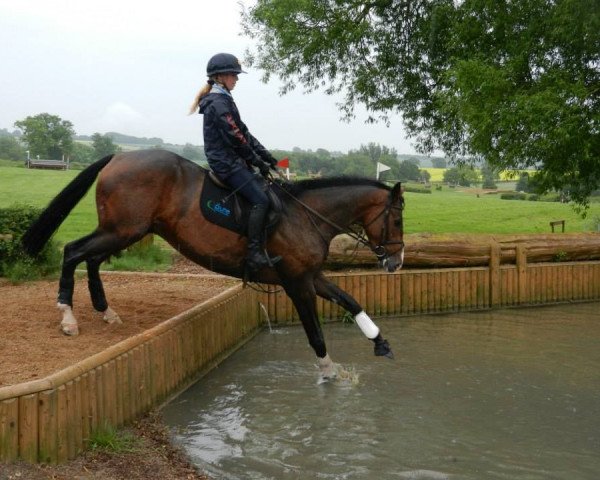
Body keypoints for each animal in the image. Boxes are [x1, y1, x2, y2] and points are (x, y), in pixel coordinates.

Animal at [24, 150, 408, 378]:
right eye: (398, 219)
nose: (396, 262)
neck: (306, 217)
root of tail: (119, 156)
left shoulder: (310, 276)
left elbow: (351, 302)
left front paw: (381, 344)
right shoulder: (297, 283)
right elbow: (315, 333)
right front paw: (328, 371)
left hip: (126, 232)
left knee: (90, 259)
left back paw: (106, 311)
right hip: (122, 230)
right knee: (73, 252)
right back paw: (68, 317)